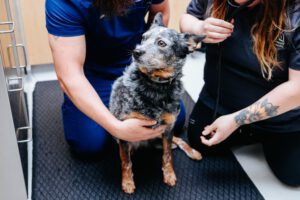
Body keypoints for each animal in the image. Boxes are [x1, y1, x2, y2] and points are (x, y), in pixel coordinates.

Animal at [109, 12, 205, 194]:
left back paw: (192, 152)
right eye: (143, 38)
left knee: (177, 140)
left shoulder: (168, 127)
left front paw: (169, 175)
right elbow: (126, 162)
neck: (155, 86)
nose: (136, 51)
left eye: (161, 43)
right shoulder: (124, 129)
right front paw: (127, 183)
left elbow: (167, 156)